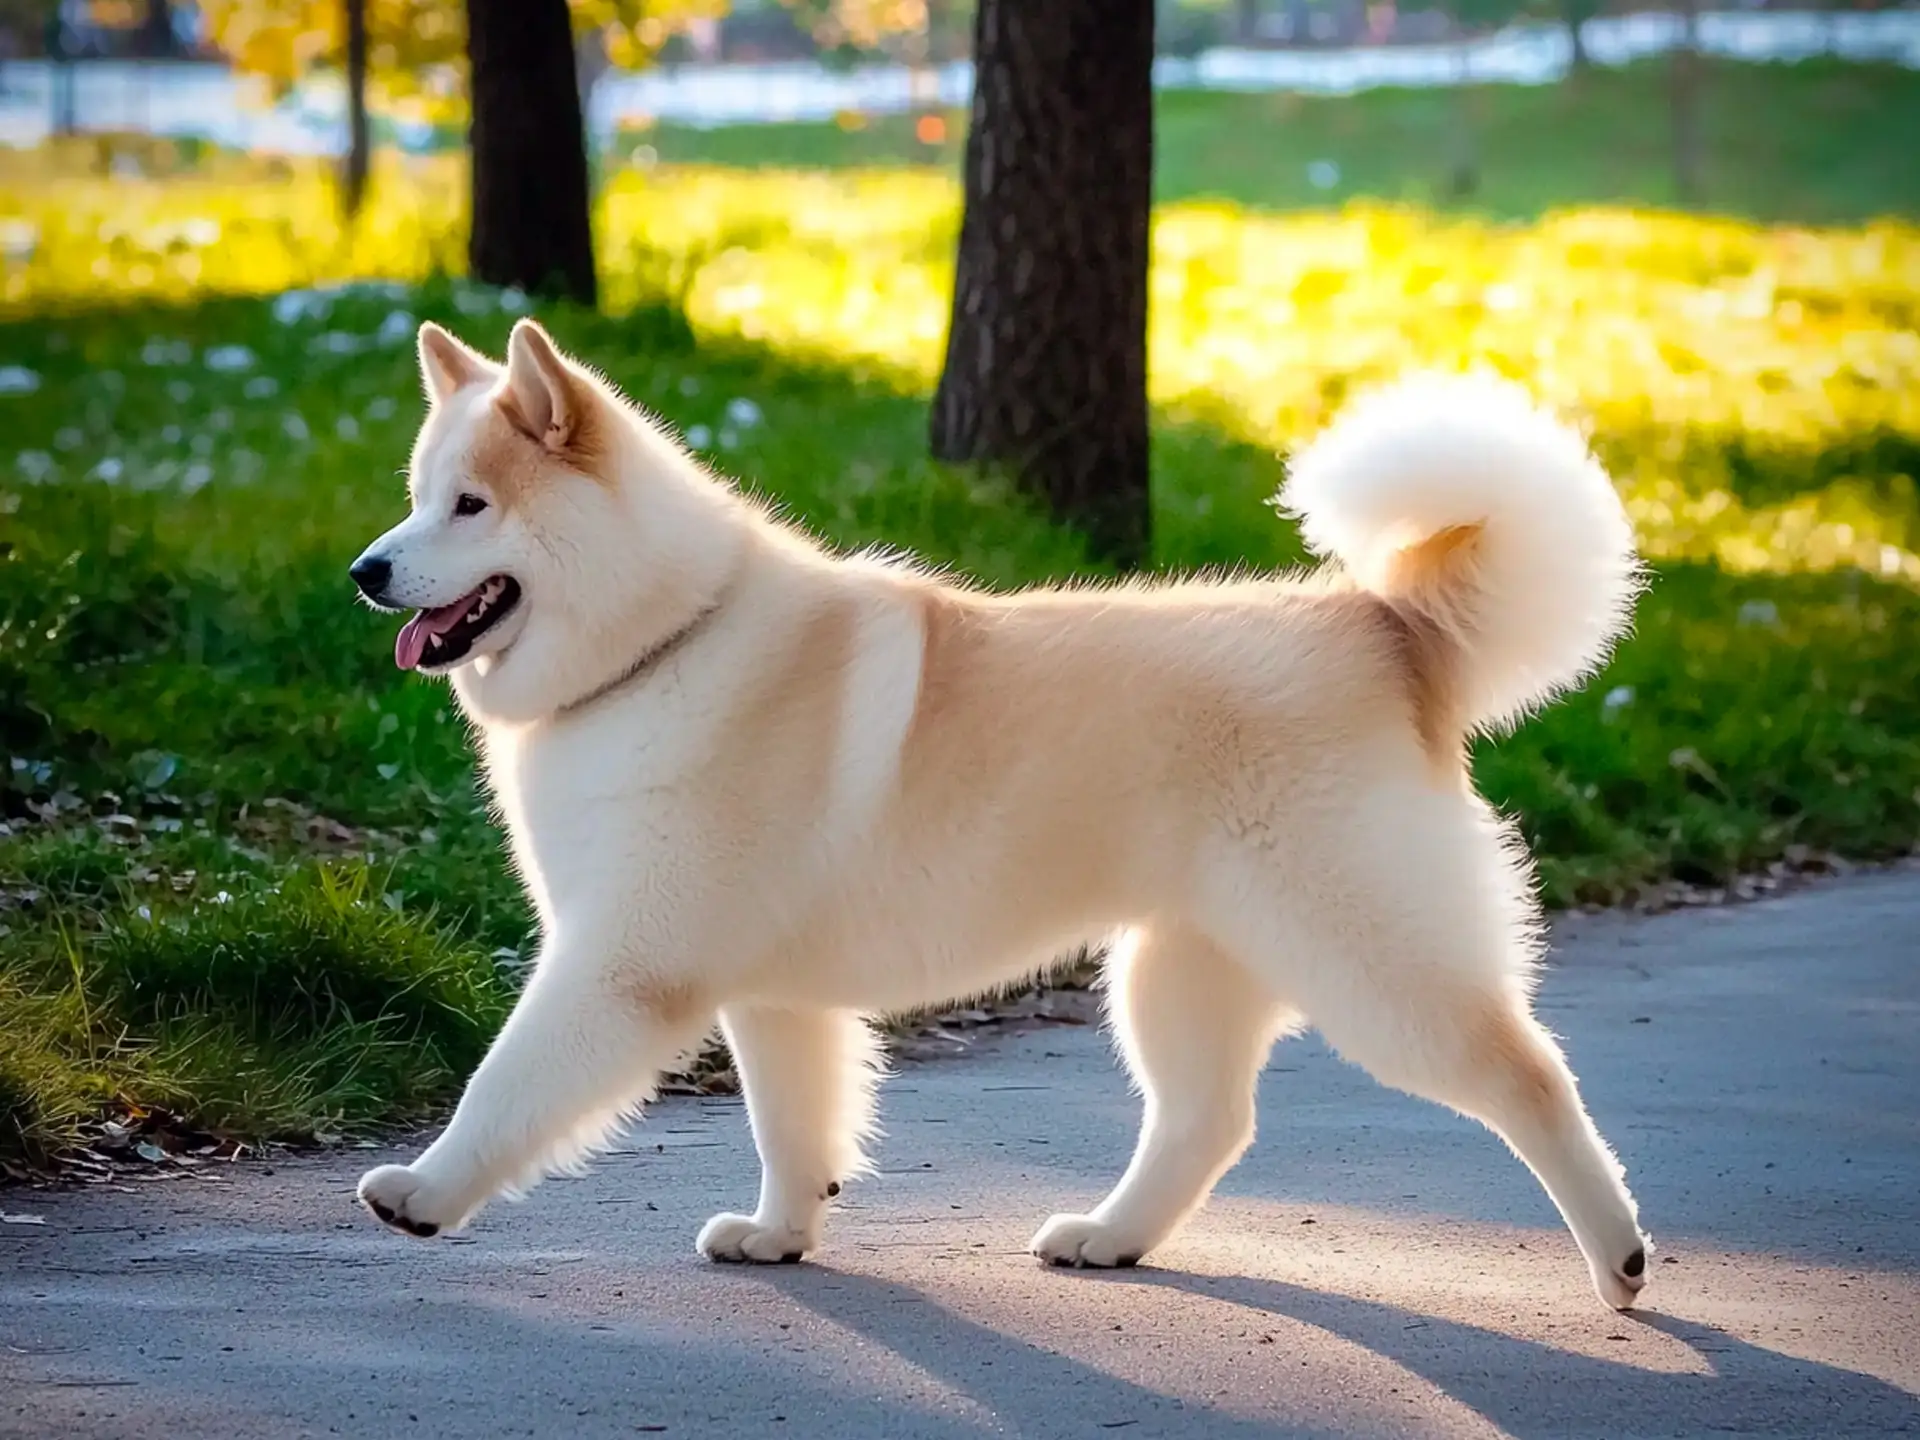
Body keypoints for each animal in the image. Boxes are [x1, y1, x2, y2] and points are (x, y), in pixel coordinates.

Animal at [349, 320, 1651, 1313]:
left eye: (470, 506)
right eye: (417, 501)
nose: (366, 571)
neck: (666, 638)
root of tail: (1382, 626)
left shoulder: (620, 968)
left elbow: (507, 1086)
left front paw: (425, 1193)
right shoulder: (771, 996)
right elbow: (795, 1128)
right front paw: (782, 1234)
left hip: (1371, 962)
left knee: (1531, 1078)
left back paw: (1621, 1259)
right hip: (1178, 970)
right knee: (1207, 1122)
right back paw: (1110, 1236)